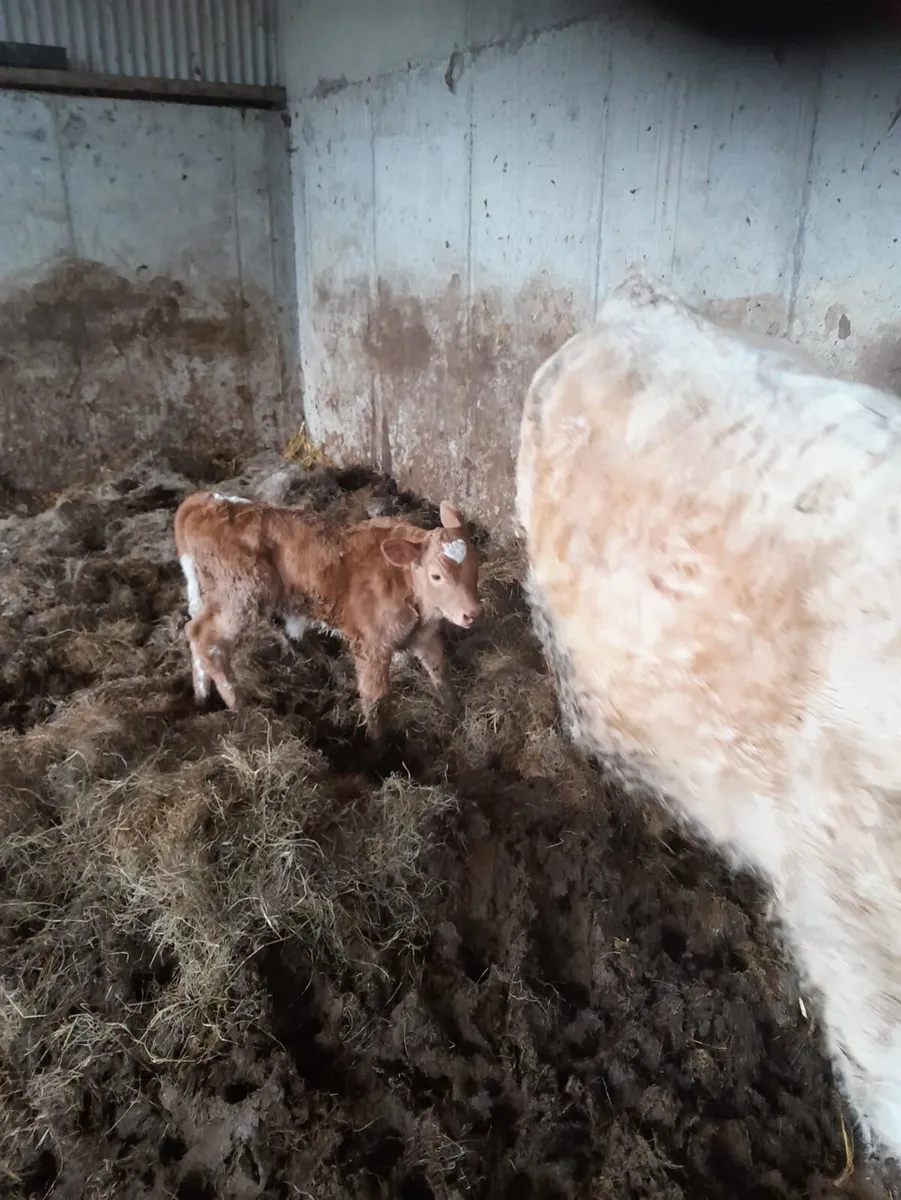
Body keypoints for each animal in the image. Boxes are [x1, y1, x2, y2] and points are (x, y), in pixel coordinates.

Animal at [173, 490, 481, 739]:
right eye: (436, 575)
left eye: (475, 567)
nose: (472, 613)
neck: (403, 579)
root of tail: (203, 501)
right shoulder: (371, 646)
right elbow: (375, 699)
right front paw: (380, 752)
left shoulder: (425, 636)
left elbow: (441, 675)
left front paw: (456, 718)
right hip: (240, 596)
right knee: (205, 638)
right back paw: (239, 707)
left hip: (211, 595)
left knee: (195, 631)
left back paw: (202, 698)